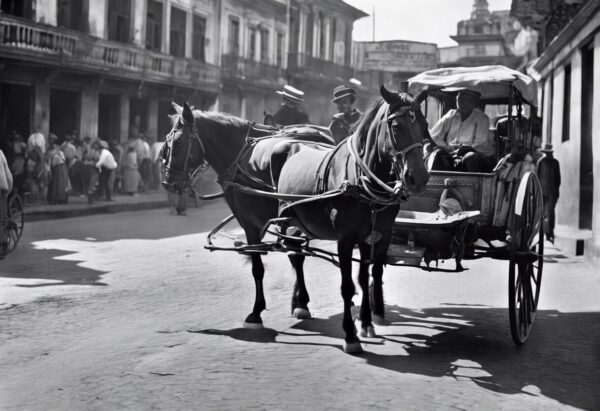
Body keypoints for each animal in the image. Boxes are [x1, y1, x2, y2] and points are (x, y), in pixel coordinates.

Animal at [162, 87, 428, 354]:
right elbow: (352, 278)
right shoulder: (353, 235)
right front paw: (352, 322)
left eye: (177, 142)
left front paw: (353, 331)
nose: (168, 182)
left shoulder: (253, 223)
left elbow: (264, 268)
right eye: (397, 127)